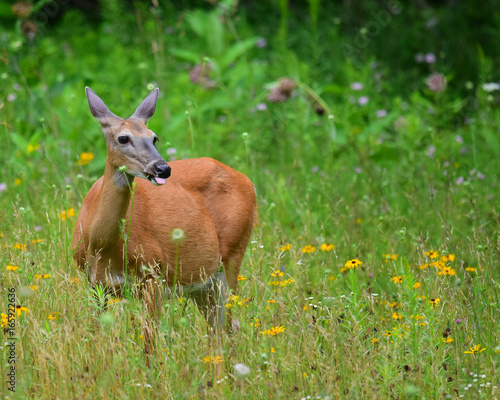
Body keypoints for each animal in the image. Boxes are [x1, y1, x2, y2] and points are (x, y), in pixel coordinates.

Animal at [72, 86, 256, 350]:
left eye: (154, 137)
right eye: (123, 138)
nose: (163, 168)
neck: (100, 244)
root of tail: (248, 181)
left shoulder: (153, 274)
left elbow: (150, 341)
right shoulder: (95, 284)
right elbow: (94, 334)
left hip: (233, 254)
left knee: (230, 326)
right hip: (203, 283)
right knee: (218, 330)